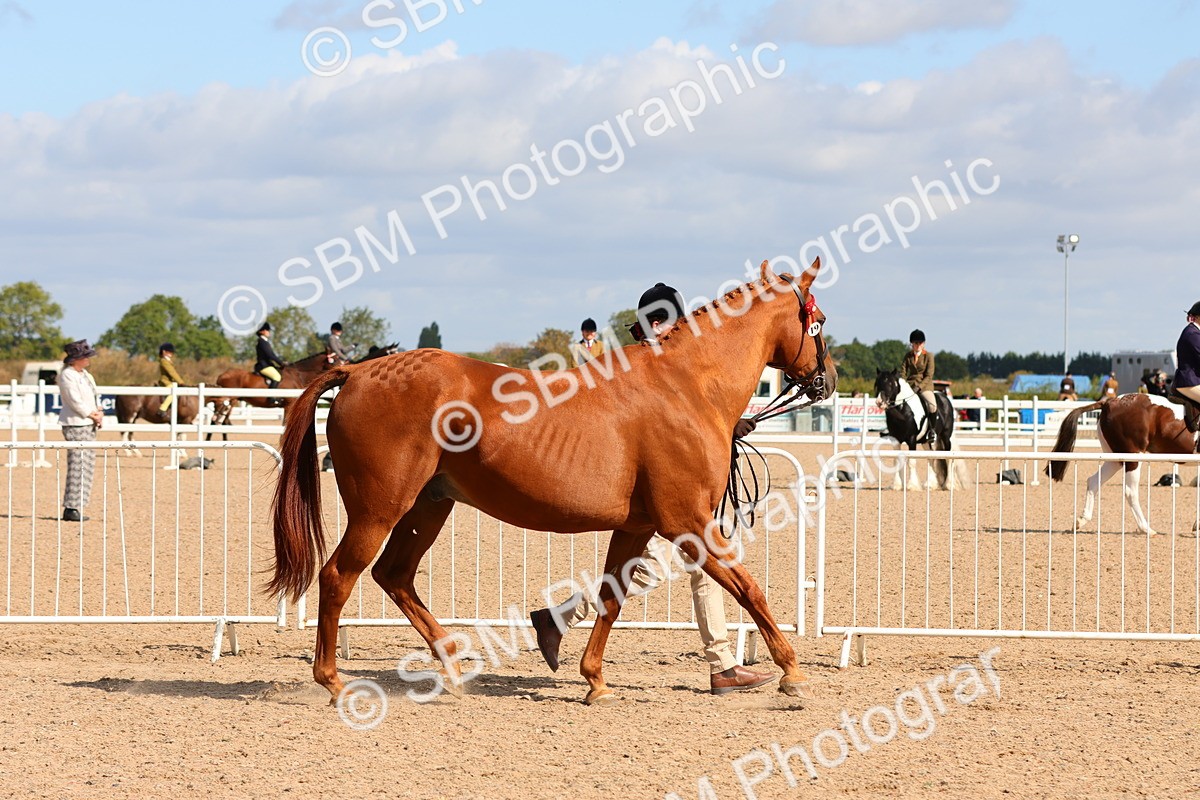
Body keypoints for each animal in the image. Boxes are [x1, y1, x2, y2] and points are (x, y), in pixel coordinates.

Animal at [269, 260, 835, 707]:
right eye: (820, 321)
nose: (826, 378)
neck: (684, 386)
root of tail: (358, 374)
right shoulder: (688, 524)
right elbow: (748, 589)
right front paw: (792, 672)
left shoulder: (639, 527)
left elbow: (610, 596)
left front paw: (593, 679)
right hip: (379, 511)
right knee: (338, 577)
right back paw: (334, 682)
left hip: (428, 507)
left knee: (395, 576)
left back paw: (453, 669)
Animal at [1047, 393, 1198, 535]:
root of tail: (1108, 402)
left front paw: (1197, 525)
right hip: (1133, 457)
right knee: (1130, 492)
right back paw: (1146, 529)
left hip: (1115, 460)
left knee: (1094, 481)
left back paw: (1081, 520)